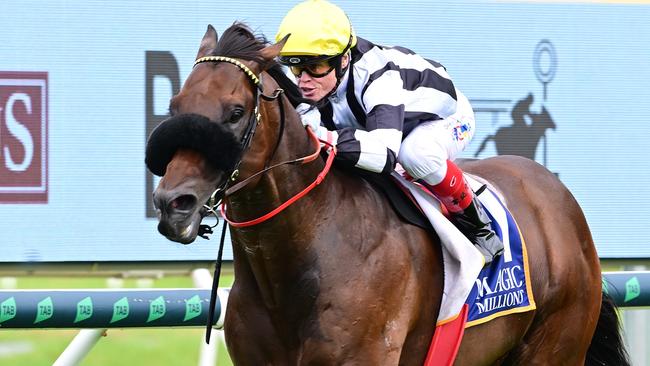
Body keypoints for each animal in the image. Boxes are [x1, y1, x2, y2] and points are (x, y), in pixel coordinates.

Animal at [144, 24, 624, 364]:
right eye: (174, 108)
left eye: (236, 112)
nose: (172, 205)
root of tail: (559, 196)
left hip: (555, 346)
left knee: (421, 154)